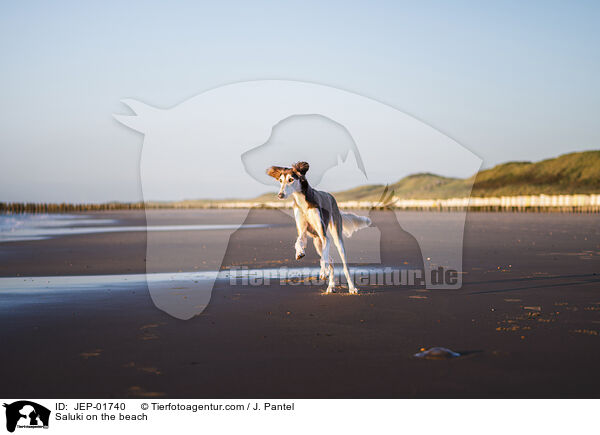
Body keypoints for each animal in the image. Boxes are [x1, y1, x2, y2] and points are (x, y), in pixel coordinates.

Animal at [268, 162, 370, 294]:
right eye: (280, 180)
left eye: (291, 180)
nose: (280, 195)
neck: (302, 202)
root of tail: (331, 196)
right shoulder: (303, 232)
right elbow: (298, 242)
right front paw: (300, 252)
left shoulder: (324, 236)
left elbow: (323, 259)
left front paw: (322, 272)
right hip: (317, 243)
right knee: (330, 260)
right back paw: (331, 286)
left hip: (336, 238)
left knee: (343, 265)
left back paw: (351, 288)